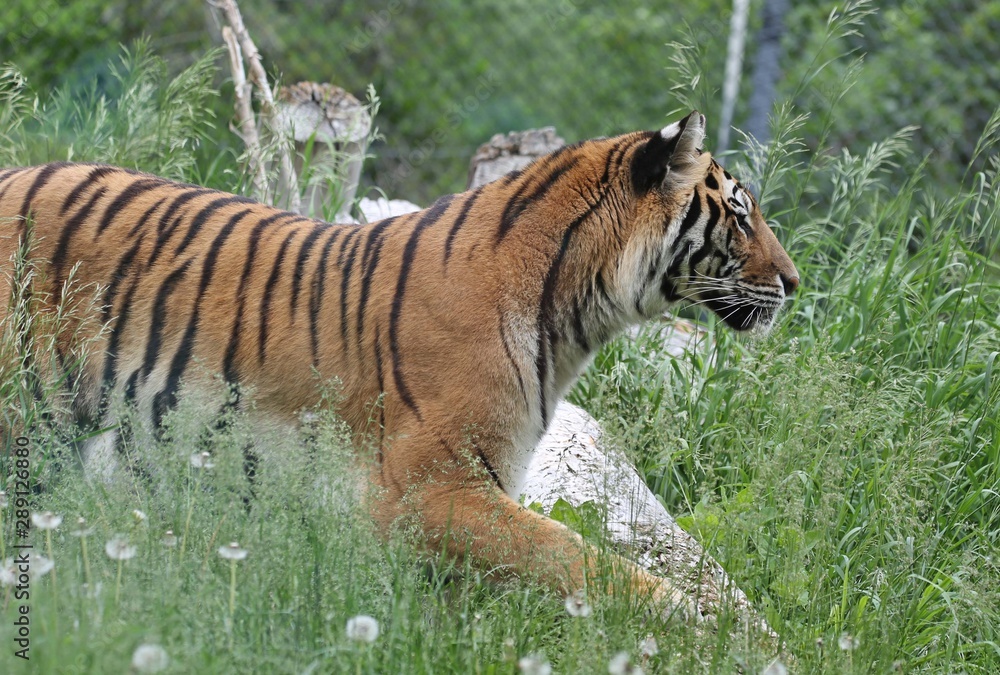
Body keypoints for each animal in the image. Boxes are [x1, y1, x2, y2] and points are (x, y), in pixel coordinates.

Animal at [0, 111, 797, 619]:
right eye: (740, 212)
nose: (794, 283)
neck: (579, 308)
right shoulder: (433, 490)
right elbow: (585, 559)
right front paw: (710, 629)